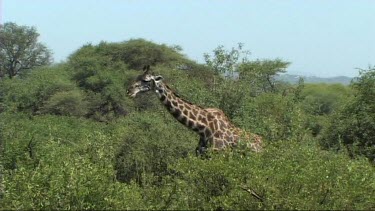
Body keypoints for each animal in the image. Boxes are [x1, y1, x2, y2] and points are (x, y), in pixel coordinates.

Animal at [128, 66, 262, 155]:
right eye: (137, 77)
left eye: (146, 80)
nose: (129, 91)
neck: (203, 128)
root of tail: (264, 144)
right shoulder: (200, 155)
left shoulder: (218, 155)